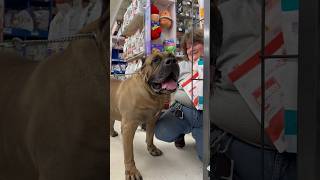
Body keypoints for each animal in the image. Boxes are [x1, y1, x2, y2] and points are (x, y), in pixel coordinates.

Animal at [110, 51, 180, 179]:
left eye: (173, 57)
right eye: (155, 60)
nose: (172, 61)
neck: (150, 94)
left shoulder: (152, 120)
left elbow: (150, 136)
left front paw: (152, 149)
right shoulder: (129, 127)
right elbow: (129, 154)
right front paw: (131, 171)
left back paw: (112, 133)